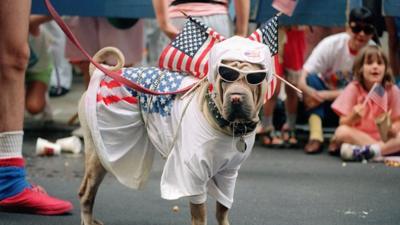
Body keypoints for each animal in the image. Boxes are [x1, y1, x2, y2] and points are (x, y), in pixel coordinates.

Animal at [77, 36, 274, 224]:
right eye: (226, 76)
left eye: (254, 79)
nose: (236, 98)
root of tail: (102, 74)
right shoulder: (191, 175)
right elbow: (200, 215)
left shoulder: (228, 175)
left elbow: (222, 210)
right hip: (101, 152)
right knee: (86, 195)